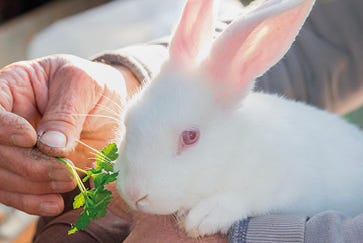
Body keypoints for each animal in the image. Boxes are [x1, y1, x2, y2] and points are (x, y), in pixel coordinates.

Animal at [115, 0, 363, 237]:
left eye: (190, 136)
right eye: (128, 119)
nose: (135, 194)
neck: (233, 155)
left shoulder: (287, 184)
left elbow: (249, 198)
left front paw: (203, 218)